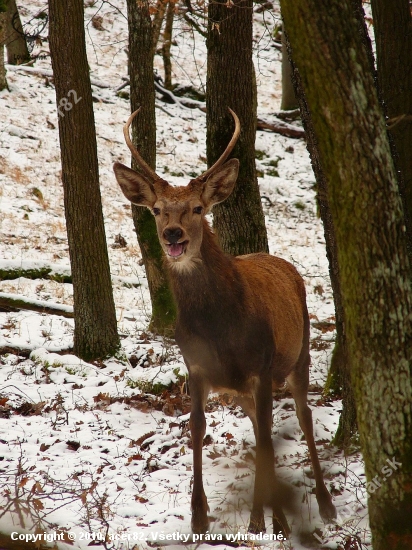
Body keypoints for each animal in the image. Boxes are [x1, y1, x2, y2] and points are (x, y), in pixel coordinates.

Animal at [112, 108, 334, 540]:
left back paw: (325, 505)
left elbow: (267, 439)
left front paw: (266, 522)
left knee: (302, 416)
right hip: (245, 387)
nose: (173, 234)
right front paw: (199, 518)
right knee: (261, 426)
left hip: (299, 354)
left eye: (198, 208)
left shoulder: (261, 366)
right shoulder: (196, 368)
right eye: (157, 209)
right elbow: (197, 429)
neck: (220, 328)